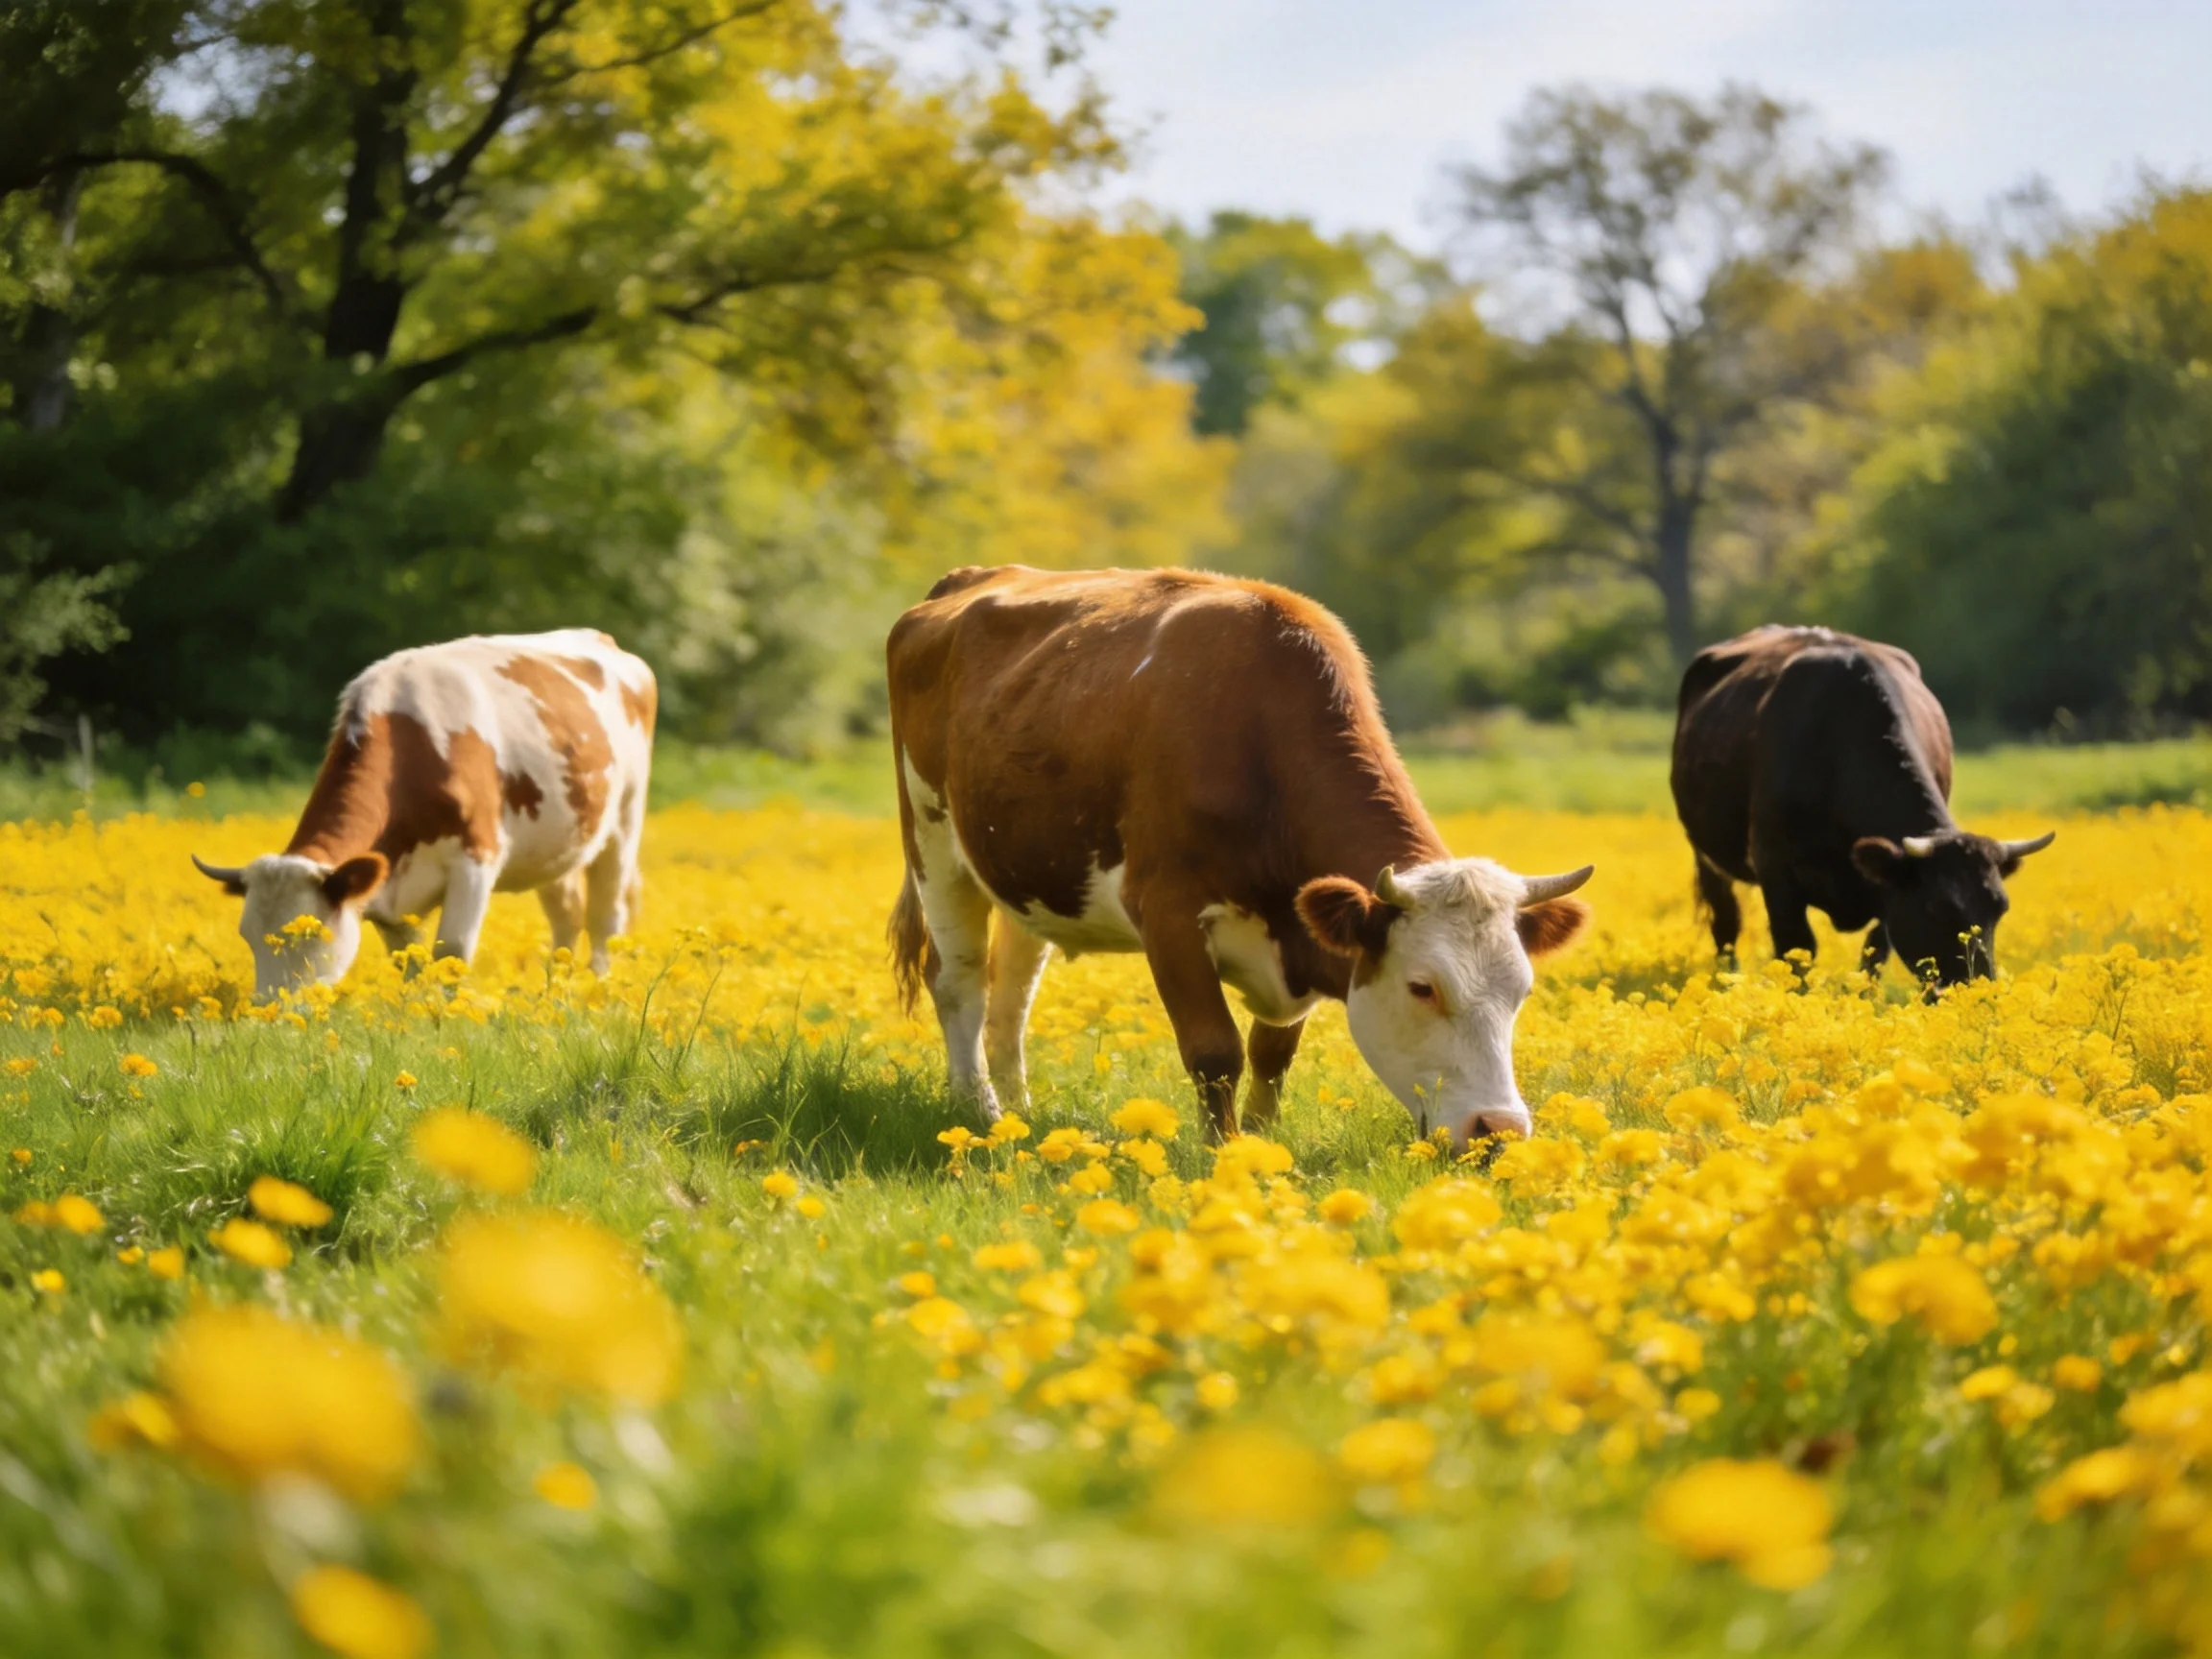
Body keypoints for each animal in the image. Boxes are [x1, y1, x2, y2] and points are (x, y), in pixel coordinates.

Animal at [193, 630, 657, 999]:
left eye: (312, 933)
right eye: (248, 936)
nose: (270, 1008)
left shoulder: (477, 858)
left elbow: (451, 952)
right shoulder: (387, 897)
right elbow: (410, 962)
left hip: (624, 822)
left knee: (605, 917)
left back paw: (596, 988)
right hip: (557, 841)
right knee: (567, 915)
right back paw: (556, 989)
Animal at [885, 566, 1594, 1145]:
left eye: (1522, 990)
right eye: (1423, 987)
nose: (1498, 1129)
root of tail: (969, 578)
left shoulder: (1302, 936)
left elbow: (1272, 1053)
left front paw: (1258, 1142)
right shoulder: (1168, 912)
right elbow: (1215, 1050)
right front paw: (1222, 1153)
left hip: (1027, 872)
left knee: (1012, 993)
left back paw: (1020, 1114)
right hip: (933, 843)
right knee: (959, 982)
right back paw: (978, 1112)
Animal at [1670, 624, 2052, 986]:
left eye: (2000, 908)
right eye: (1935, 907)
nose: (1976, 984)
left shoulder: (1887, 892)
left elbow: (1874, 955)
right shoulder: (1775, 868)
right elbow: (1796, 951)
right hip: (1704, 854)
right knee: (1725, 923)